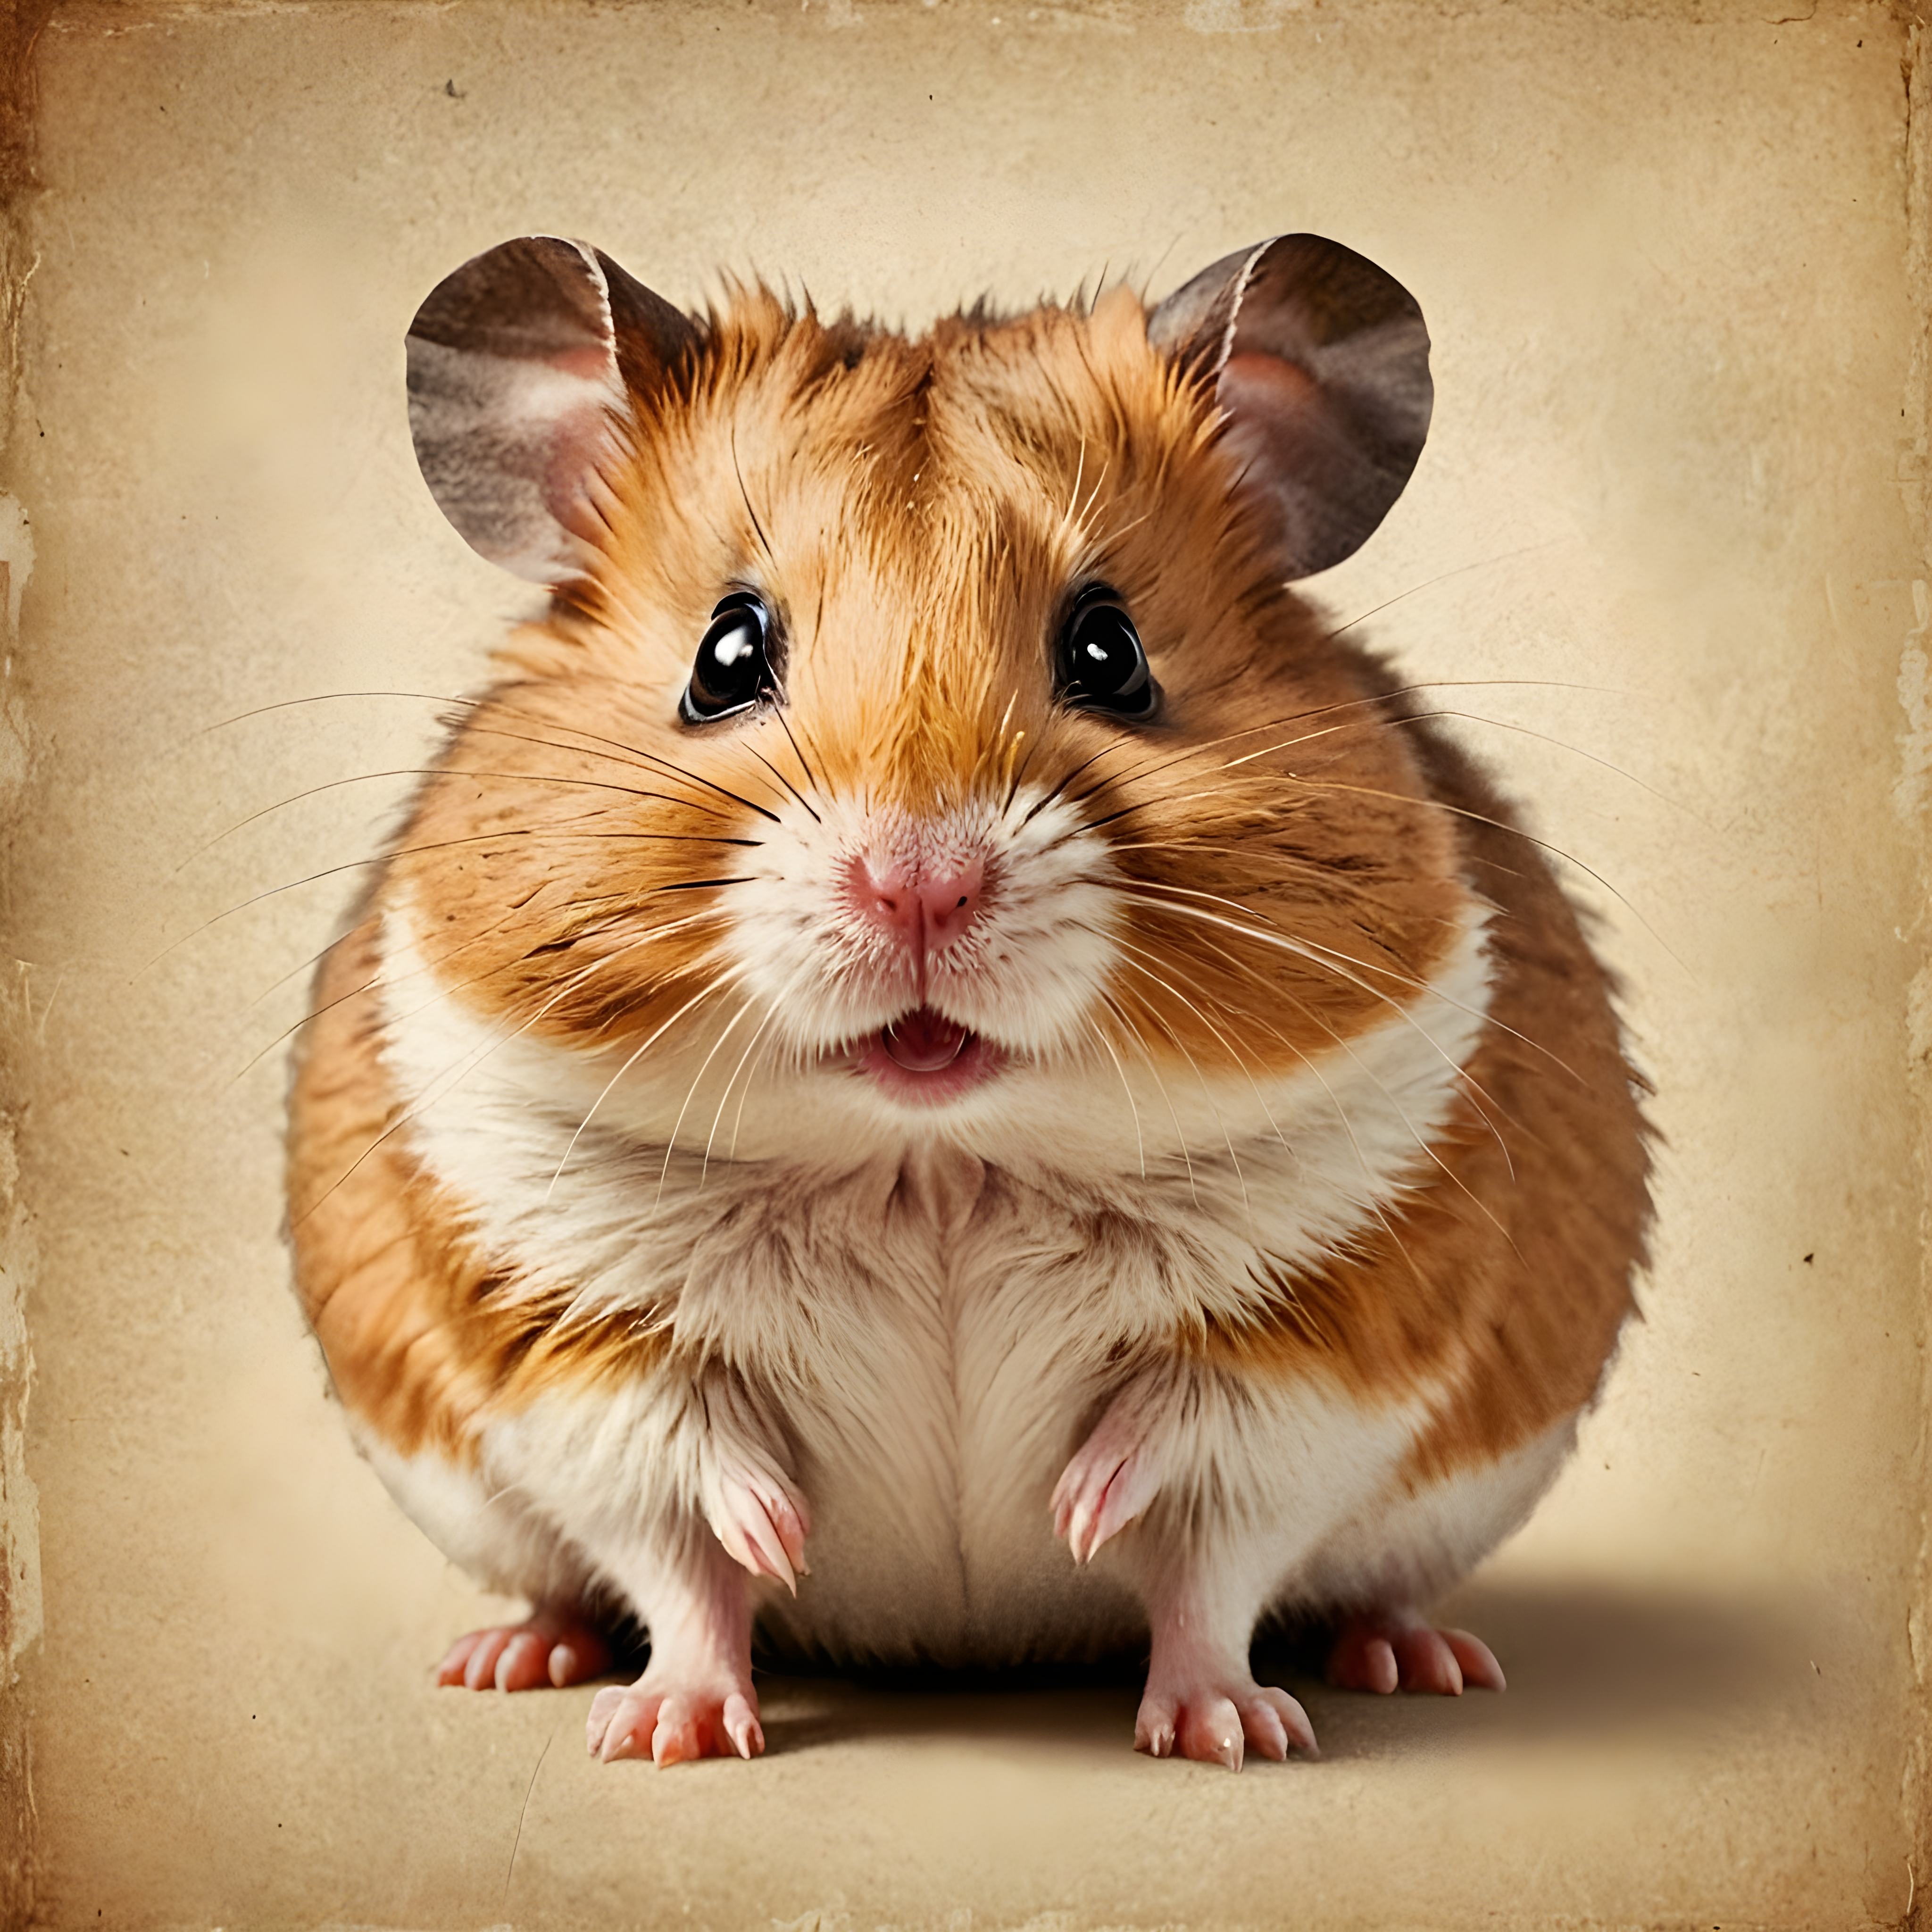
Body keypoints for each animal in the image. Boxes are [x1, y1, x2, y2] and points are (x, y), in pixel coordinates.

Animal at [285, 232, 1649, 1770]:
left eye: (1111, 651)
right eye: (725, 656)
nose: (918, 885)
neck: (933, 1166)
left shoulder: (1331, 1335)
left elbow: (1206, 1525)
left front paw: (1209, 1707)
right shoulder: (564, 1339)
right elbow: (685, 1523)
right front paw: (679, 1714)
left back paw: (1420, 1661)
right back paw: (513, 1656)